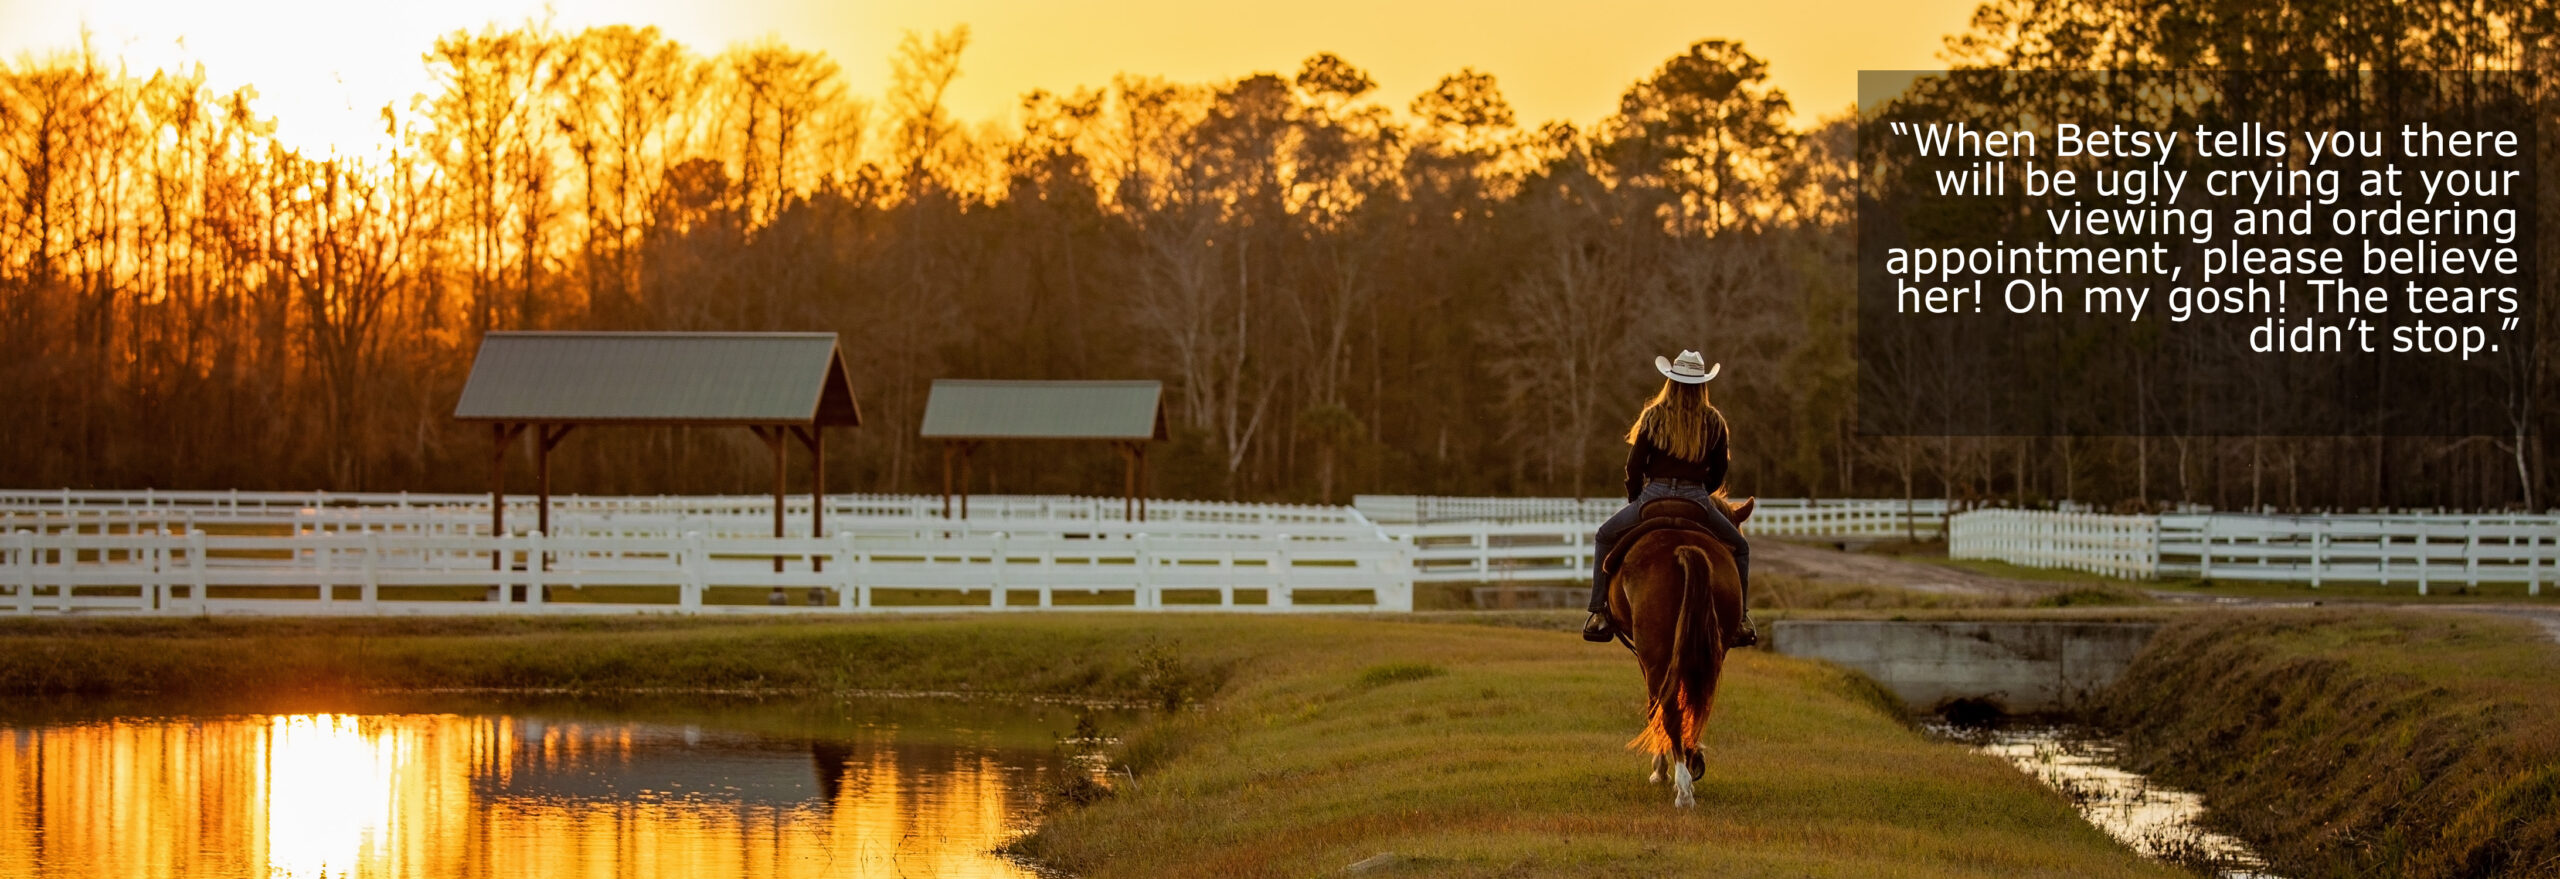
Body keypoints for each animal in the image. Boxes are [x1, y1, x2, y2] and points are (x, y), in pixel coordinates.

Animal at [1607, 492, 1751, 809]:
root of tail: (1685, 547)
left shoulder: (1646, 659)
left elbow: (1654, 707)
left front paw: (1660, 770)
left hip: (1655, 652)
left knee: (1668, 707)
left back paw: (1683, 788)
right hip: (1710, 653)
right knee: (1698, 704)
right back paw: (1690, 768)